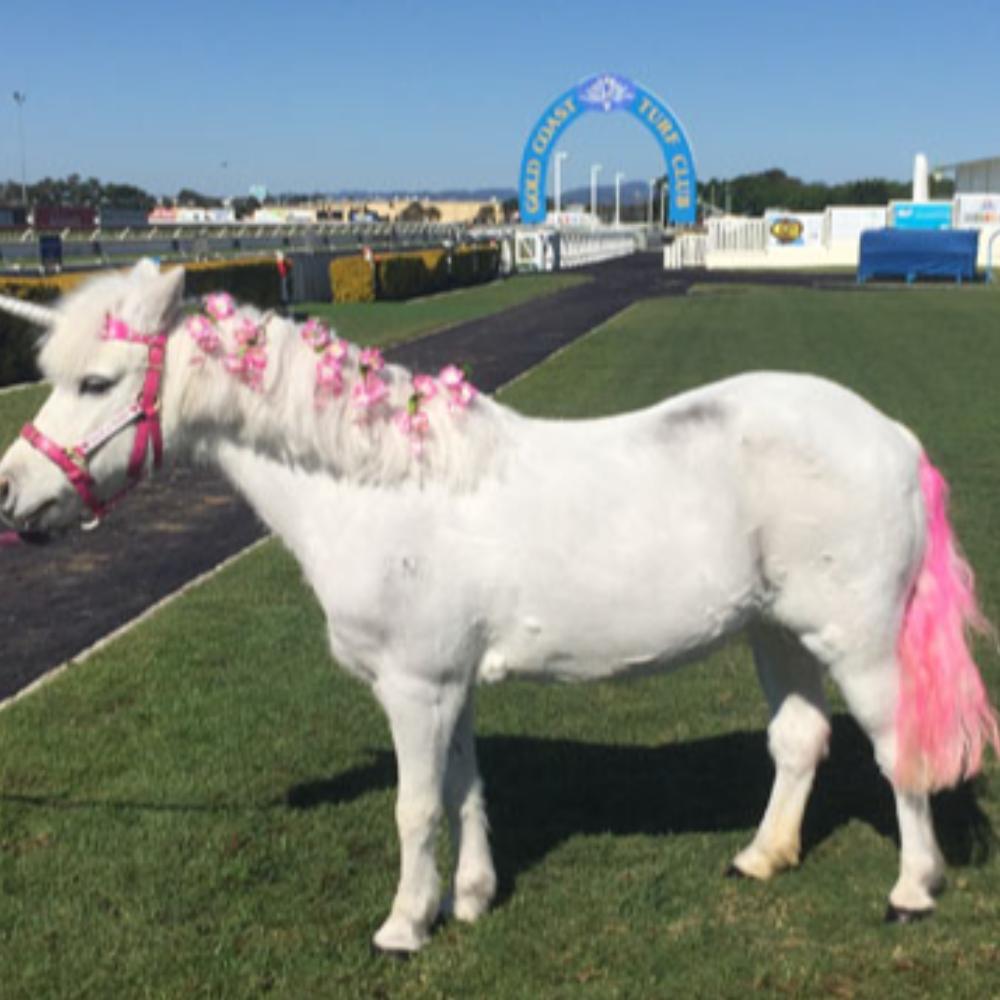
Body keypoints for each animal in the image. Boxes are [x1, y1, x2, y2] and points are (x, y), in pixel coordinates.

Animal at [0, 260, 997, 954]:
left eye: (96, 382)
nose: (12, 495)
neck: (379, 487)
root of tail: (890, 435)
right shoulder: (451, 684)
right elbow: (463, 787)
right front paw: (470, 898)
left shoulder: (413, 686)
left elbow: (414, 808)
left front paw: (405, 925)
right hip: (776, 631)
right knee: (799, 742)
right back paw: (760, 856)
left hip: (856, 640)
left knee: (897, 749)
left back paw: (914, 889)